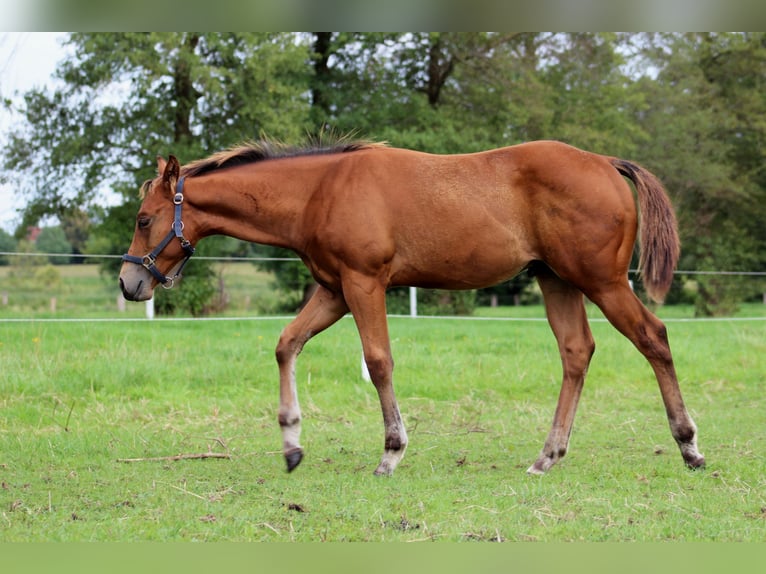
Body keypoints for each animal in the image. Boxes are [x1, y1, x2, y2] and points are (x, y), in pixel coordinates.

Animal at [121, 138, 708, 476]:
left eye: (144, 218)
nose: (130, 283)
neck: (321, 190)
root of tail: (606, 163)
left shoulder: (364, 284)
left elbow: (379, 361)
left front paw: (391, 451)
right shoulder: (334, 290)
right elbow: (287, 344)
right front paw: (291, 444)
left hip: (601, 281)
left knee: (653, 338)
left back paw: (689, 447)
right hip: (557, 281)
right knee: (576, 352)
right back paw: (547, 456)